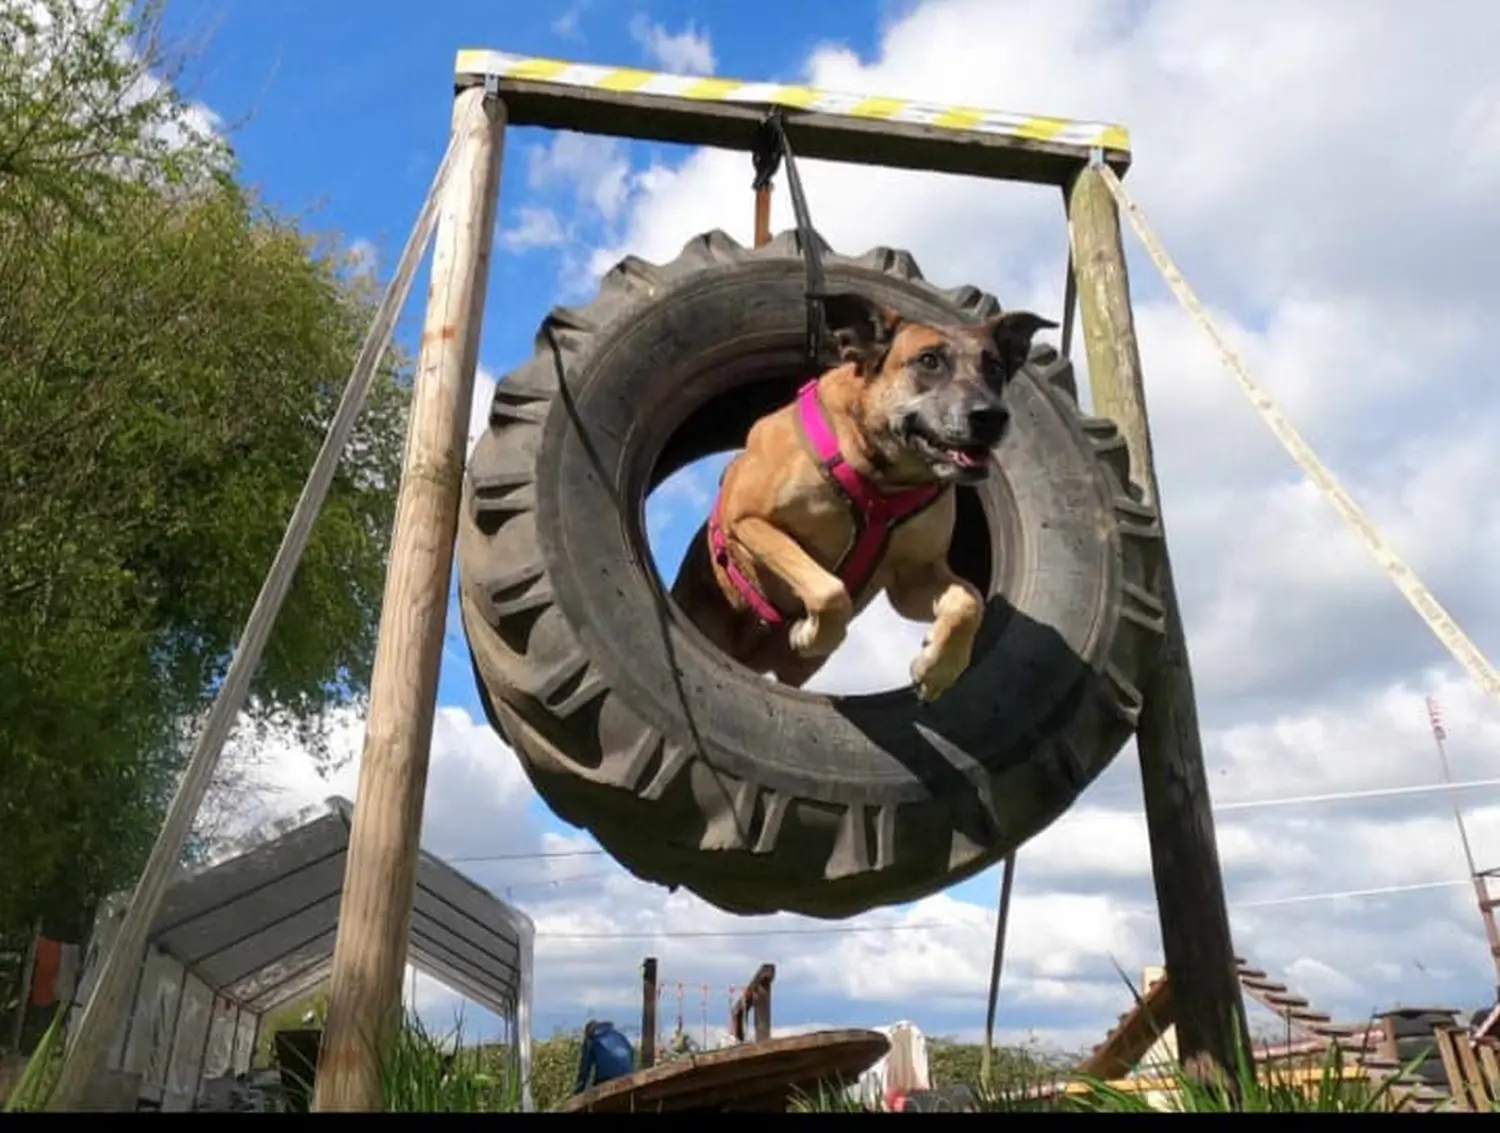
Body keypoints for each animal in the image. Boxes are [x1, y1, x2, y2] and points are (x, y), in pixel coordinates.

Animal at [675, 292, 1062, 699]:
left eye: (996, 368)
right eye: (928, 360)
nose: (993, 416)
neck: (883, 479)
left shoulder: (913, 576)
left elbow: (967, 602)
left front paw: (937, 668)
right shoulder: (748, 519)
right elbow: (830, 593)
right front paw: (811, 632)